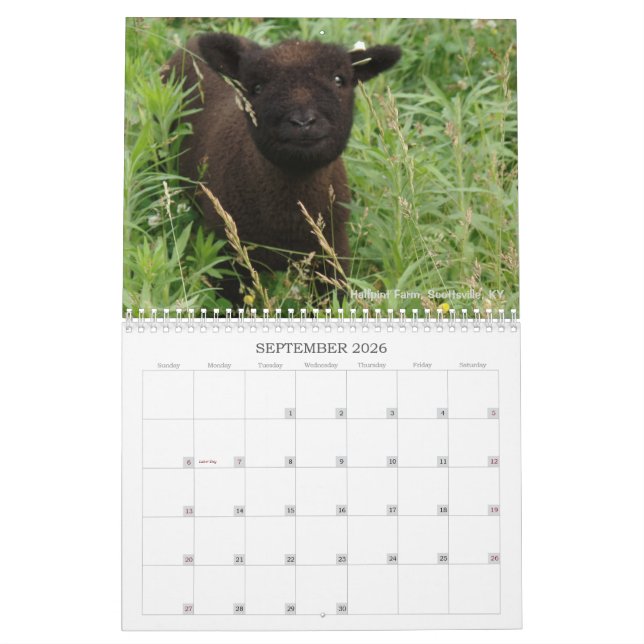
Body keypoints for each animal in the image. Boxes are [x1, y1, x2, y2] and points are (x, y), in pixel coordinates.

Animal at [164, 32, 401, 304]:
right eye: (256, 88)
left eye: (339, 80)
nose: (303, 122)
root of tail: (190, 42)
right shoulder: (227, 256)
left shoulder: (333, 250)